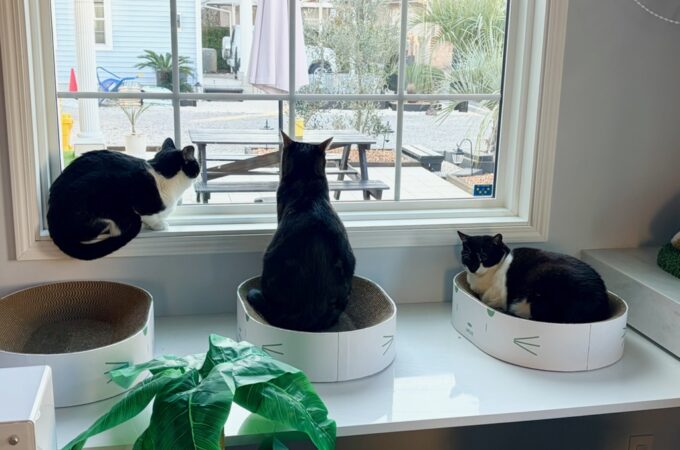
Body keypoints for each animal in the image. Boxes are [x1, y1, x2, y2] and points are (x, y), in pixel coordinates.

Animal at [47, 138, 200, 260]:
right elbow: (149, 217)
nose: (199, 171)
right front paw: (159, 225)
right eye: (197, 164)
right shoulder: (138, 197)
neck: (161, 174)